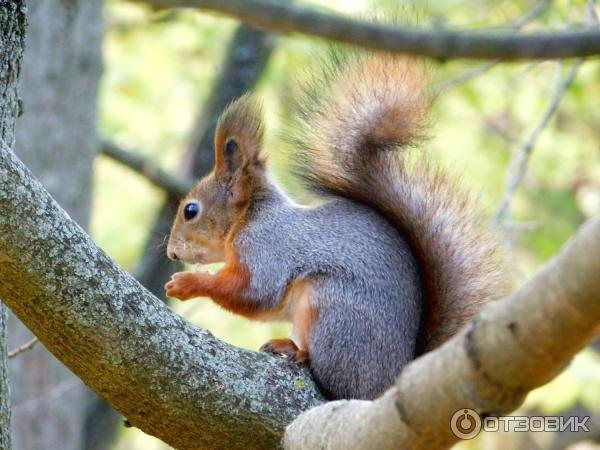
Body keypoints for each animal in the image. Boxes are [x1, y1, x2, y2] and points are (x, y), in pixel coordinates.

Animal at [164, 50, 506, 400]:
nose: (172, 253)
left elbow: (255, 292)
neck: (252, 215)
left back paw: (297, 351)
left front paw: (189, 282)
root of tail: (387, 384)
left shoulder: (268, 247)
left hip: (331, 311)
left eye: (191, 210)